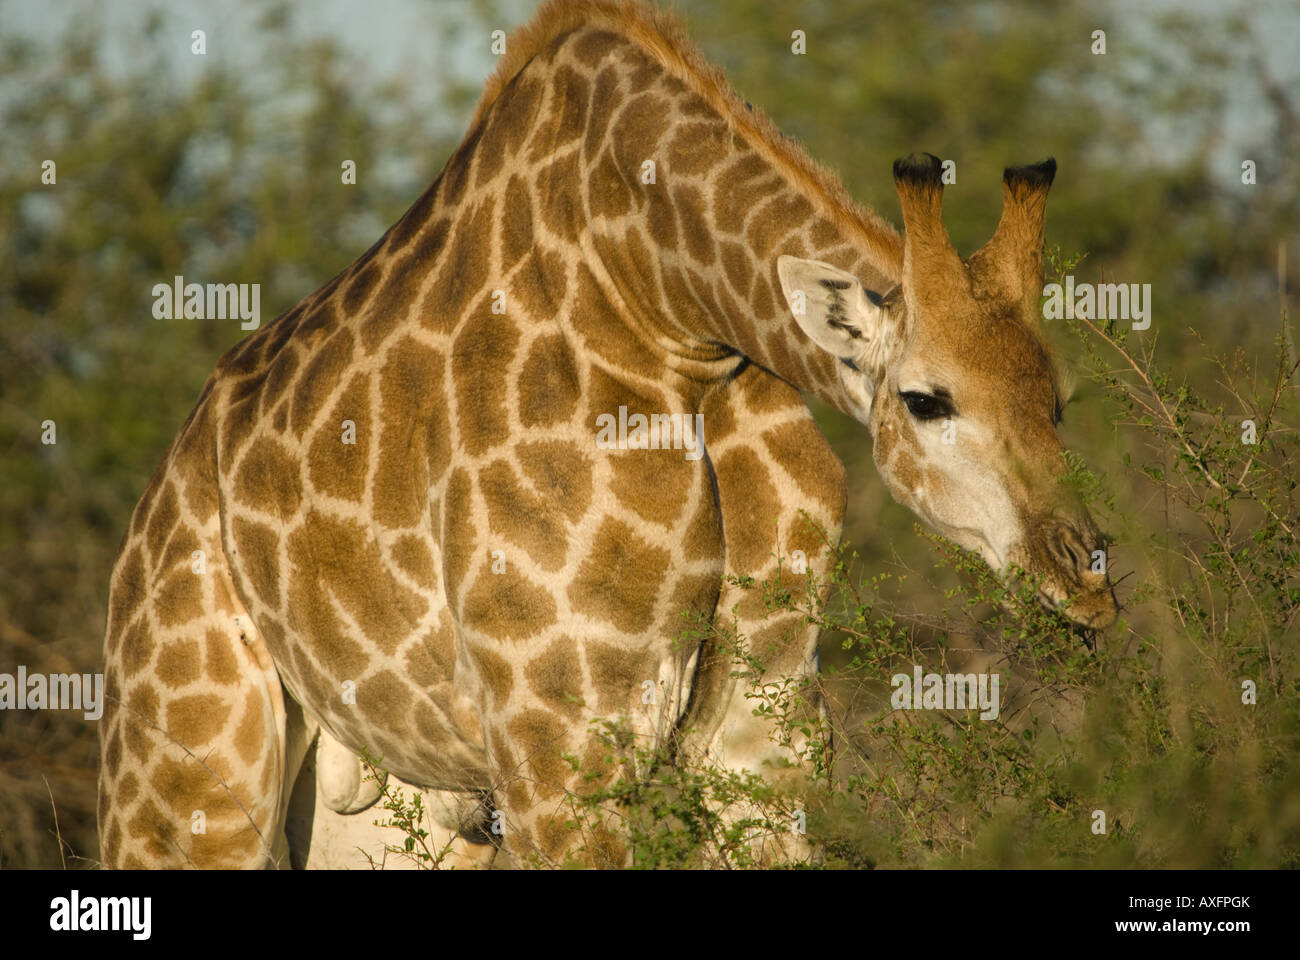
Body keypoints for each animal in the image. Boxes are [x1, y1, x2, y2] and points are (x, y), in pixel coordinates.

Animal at [98, 0, 1118, 868]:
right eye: (925, 399)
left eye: (1058, 399)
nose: (1087, 578)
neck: (665, 311)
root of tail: (156, 504)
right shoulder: (556, 736)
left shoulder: (763, 732)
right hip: (190, 772)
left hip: (374, 807)